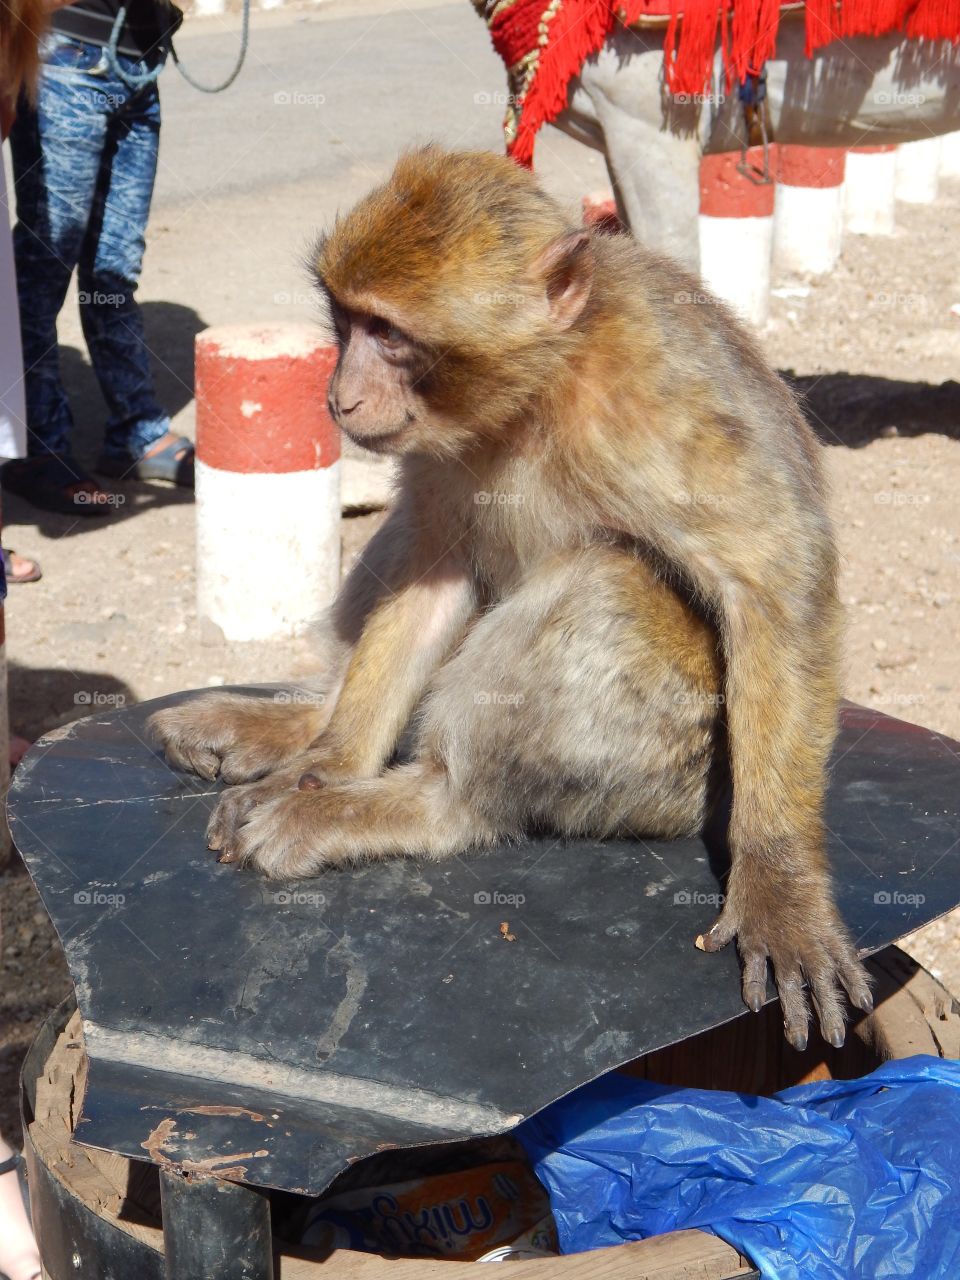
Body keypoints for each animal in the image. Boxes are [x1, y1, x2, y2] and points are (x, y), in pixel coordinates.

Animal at [149, 146, 872, 1051]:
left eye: (390, 335)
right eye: (346, 322)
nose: (338, 398)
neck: (536, 391)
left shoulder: (668, 389)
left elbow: (775, 577)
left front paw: (780, 882)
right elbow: (433, 563)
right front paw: (328, 761)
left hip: (677, 769)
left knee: (605, 579)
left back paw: (423, 802)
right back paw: (302, 726)